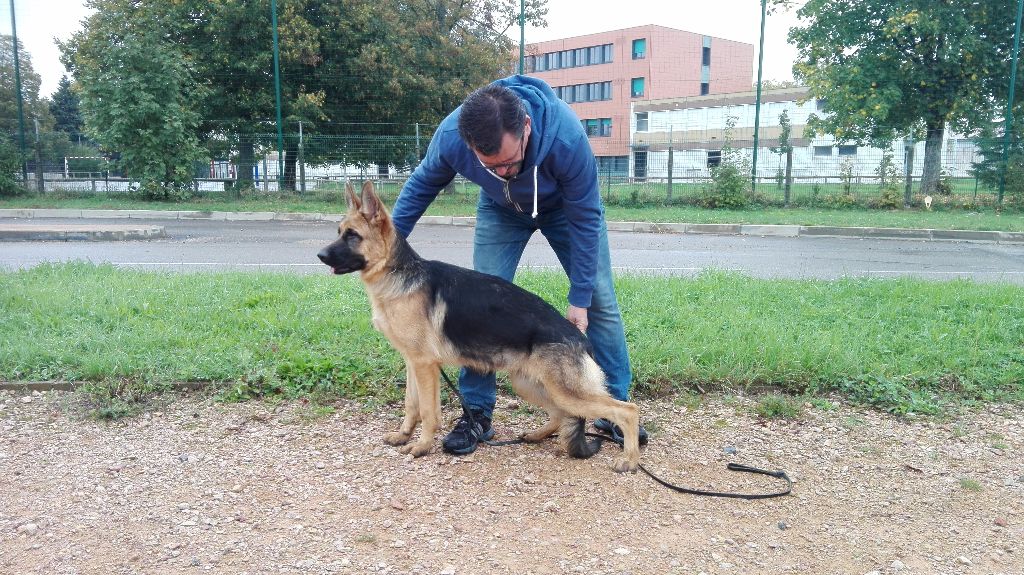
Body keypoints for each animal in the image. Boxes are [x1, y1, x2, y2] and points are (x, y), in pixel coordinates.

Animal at [319, 182, 638, 470]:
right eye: (339, 233)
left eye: (352, 236)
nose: (320, 256)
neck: (399, 274)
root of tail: (581, 339)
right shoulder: (413, 363)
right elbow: (411, 405)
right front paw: (403, 435)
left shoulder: (424, 366)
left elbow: (428, 411)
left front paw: (422, 446)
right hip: (530, 384)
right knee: (561, 415)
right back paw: (538, 435)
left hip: (565, 391)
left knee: (627, 410)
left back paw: (630, 460)